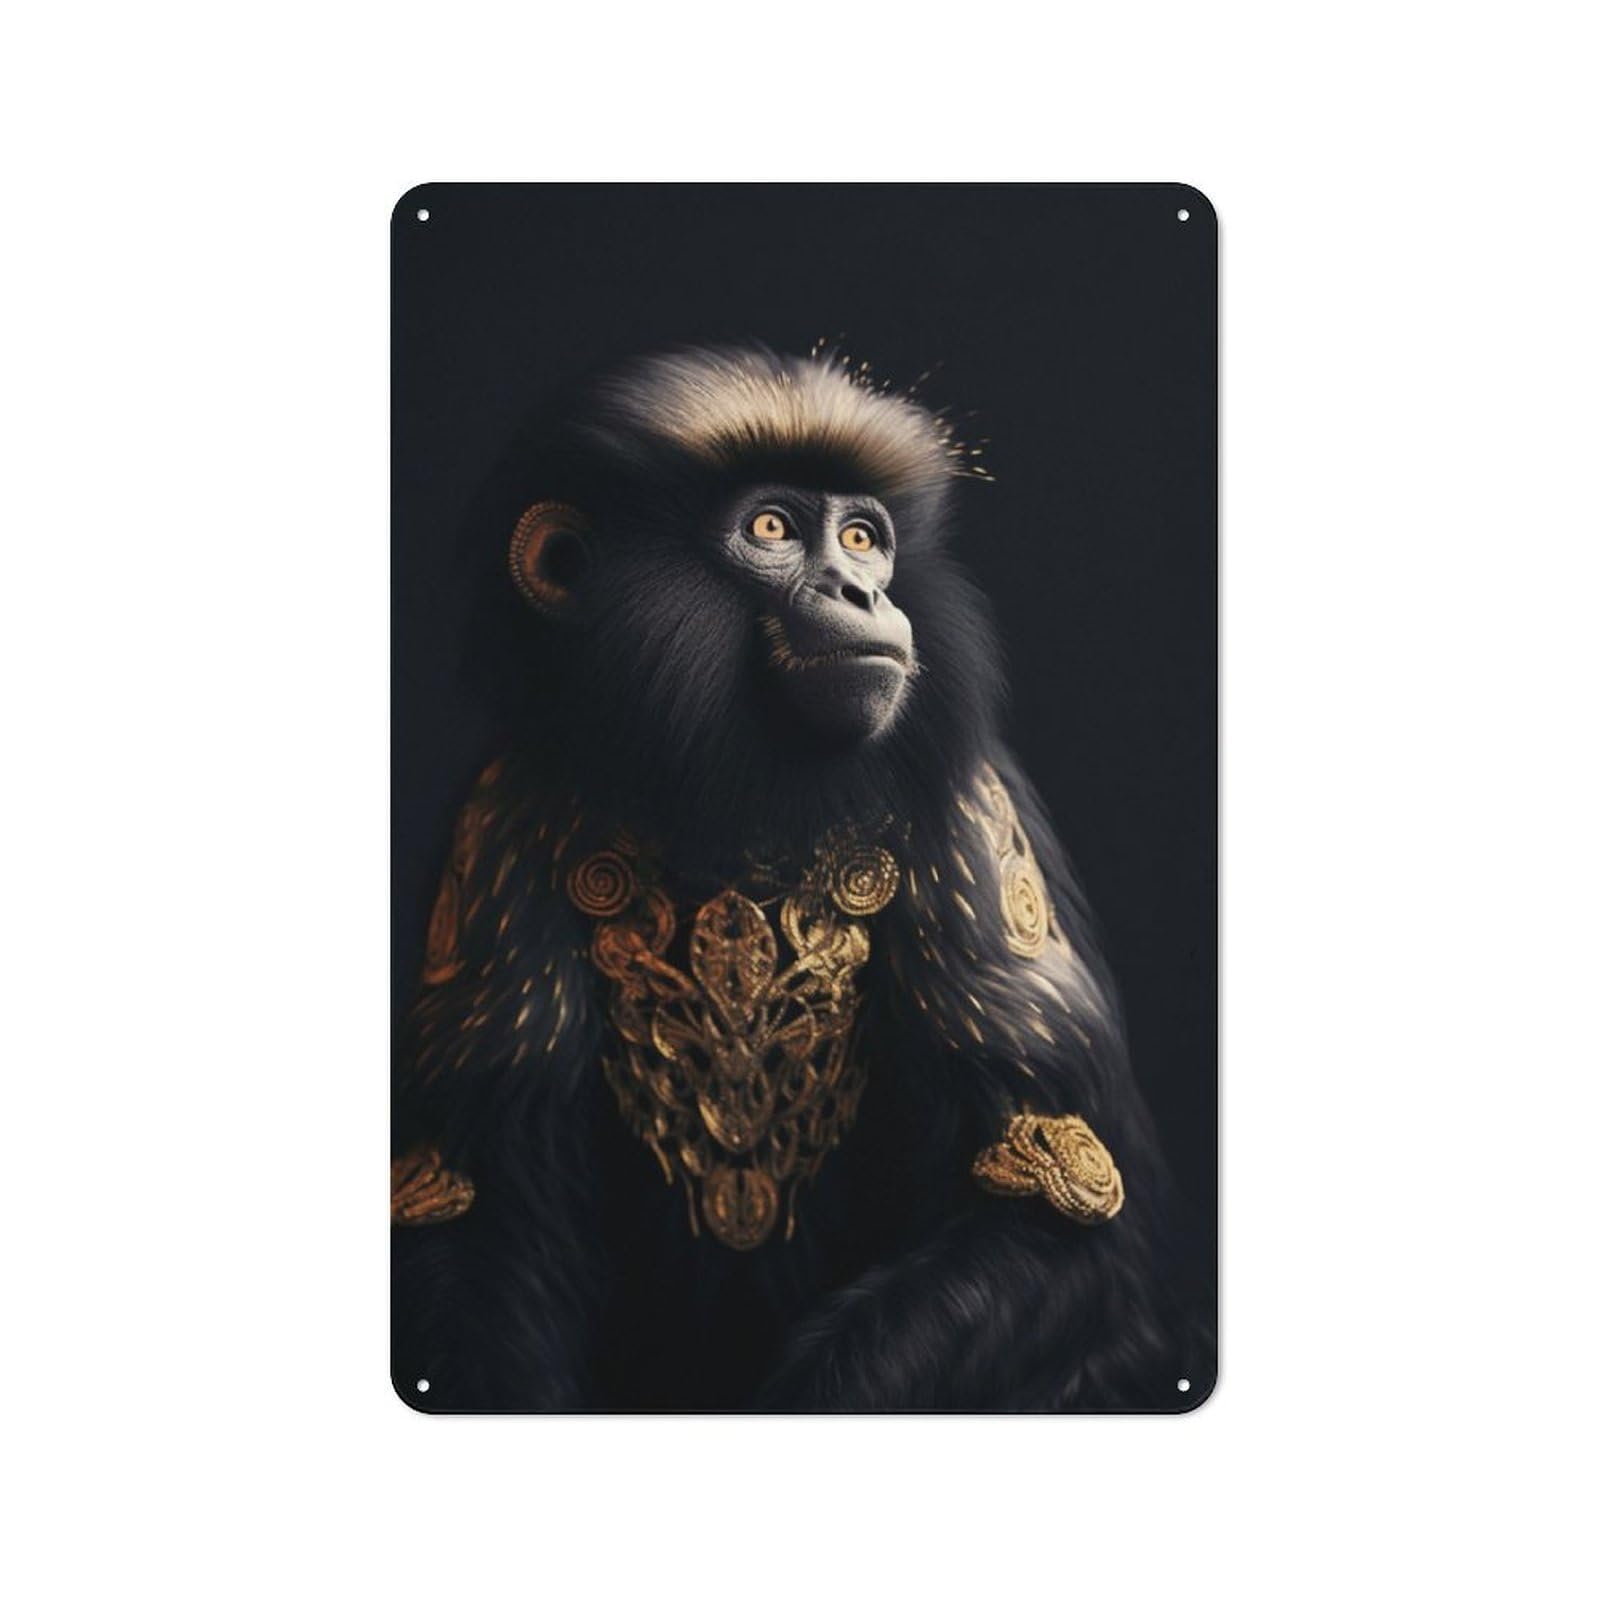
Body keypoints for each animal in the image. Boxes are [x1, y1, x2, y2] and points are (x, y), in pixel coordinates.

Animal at [392, 344, 1213, 1411]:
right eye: (773, 528)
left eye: (863, 539)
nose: (863, 594)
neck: (730, 801)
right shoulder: (494, 825)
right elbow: (470, 1213)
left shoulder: (972, 817)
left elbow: (1060, 1199)